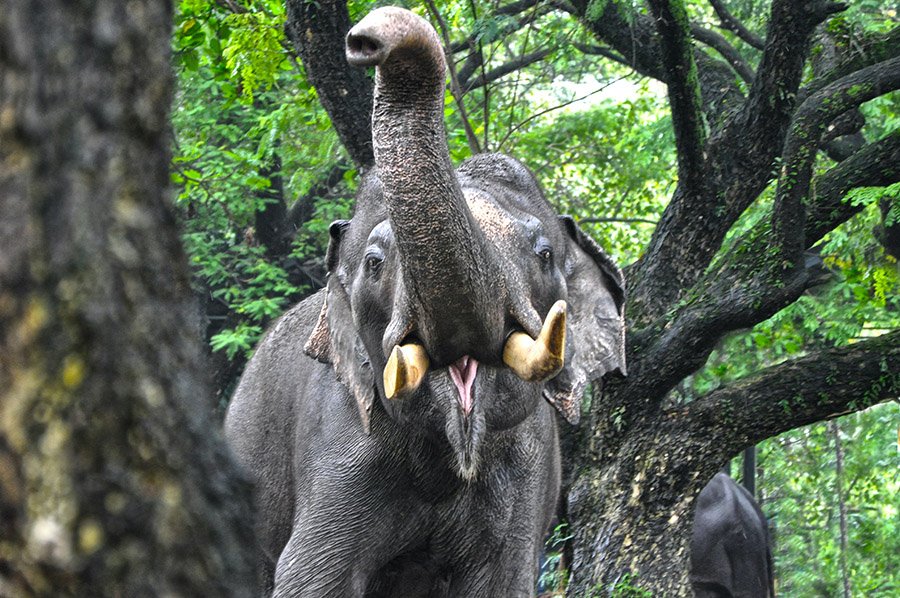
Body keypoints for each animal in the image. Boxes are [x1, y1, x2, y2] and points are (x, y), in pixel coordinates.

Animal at [224, 7, 625, 597]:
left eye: (545, 254)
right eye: (374, 263)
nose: (362, 40)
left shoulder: (526, 472)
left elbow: (503, 581)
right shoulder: (341, 442)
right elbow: (311, 578)